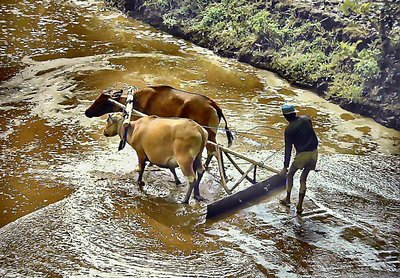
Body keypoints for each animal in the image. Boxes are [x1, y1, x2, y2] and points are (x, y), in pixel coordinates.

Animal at [86, 83, 233, 164]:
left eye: (100, 101)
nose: (87, 112)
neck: (133, 101)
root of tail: (213, 104)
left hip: (210, 136)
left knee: (215, 152)